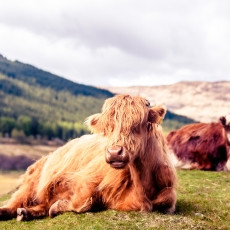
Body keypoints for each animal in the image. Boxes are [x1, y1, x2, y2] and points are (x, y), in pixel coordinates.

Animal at [0, 94, 177, 220]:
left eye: (138, 124)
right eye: (107, 128)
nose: (114, 152)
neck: (141, 185)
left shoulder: (168, 188)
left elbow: (167, 198)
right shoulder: (86, 178)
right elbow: (82, 203)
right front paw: (59, 205)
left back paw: (25, 213)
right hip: (32, 181)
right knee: (16, 200)